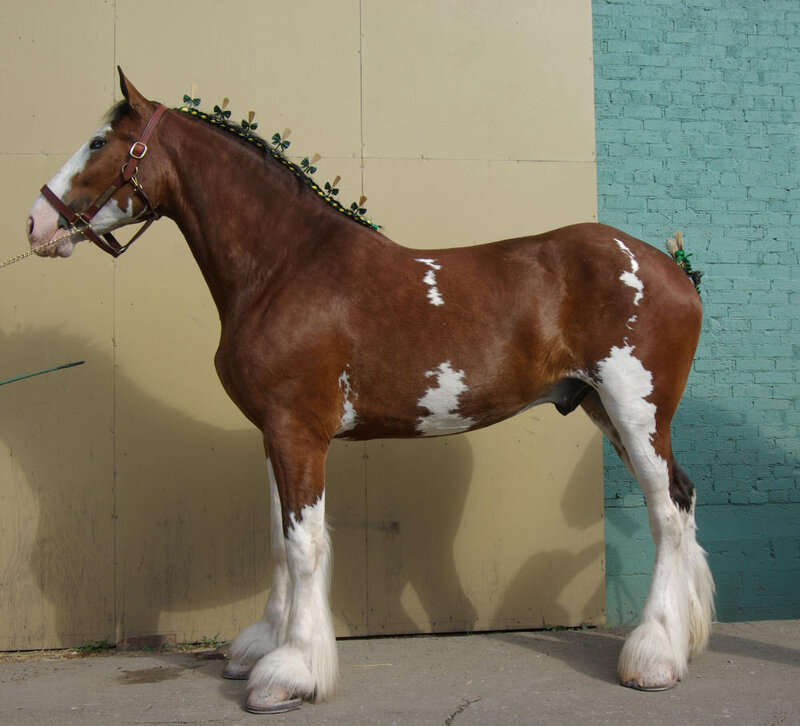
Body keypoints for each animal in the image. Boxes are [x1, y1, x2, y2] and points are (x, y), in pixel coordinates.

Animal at [26, 69, 713, 714]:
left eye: (99, 141)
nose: (36, 222)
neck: (285, 268)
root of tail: (675, 270)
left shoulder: (299, 431)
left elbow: (303, 545)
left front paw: (289, 674)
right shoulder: (274, 433)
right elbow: (276, 541)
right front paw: (261, 648)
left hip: (634, 411)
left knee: (665, 512)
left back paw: (653, 658)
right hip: (603, 408)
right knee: (681, 499)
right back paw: (679, 643)